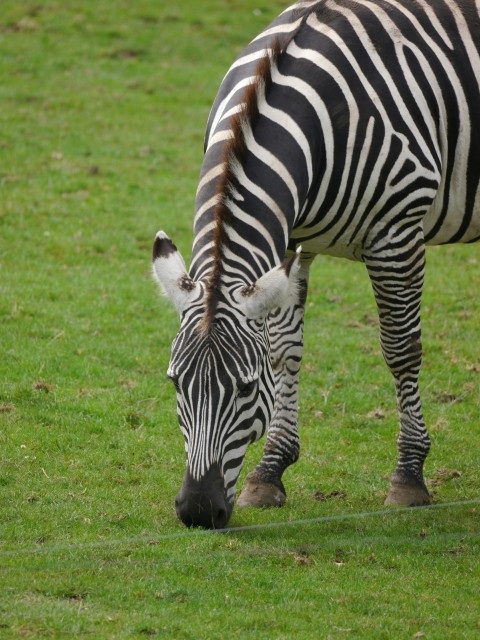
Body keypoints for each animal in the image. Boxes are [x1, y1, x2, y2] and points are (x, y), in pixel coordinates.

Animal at [153, 0, 480, 528]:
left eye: (245, 389)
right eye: (174, 383)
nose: (198, 511)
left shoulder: (397, 233)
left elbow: (401, 349)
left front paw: (409, 476)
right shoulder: (289, 242)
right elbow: (285, 351)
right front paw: (270, 472)